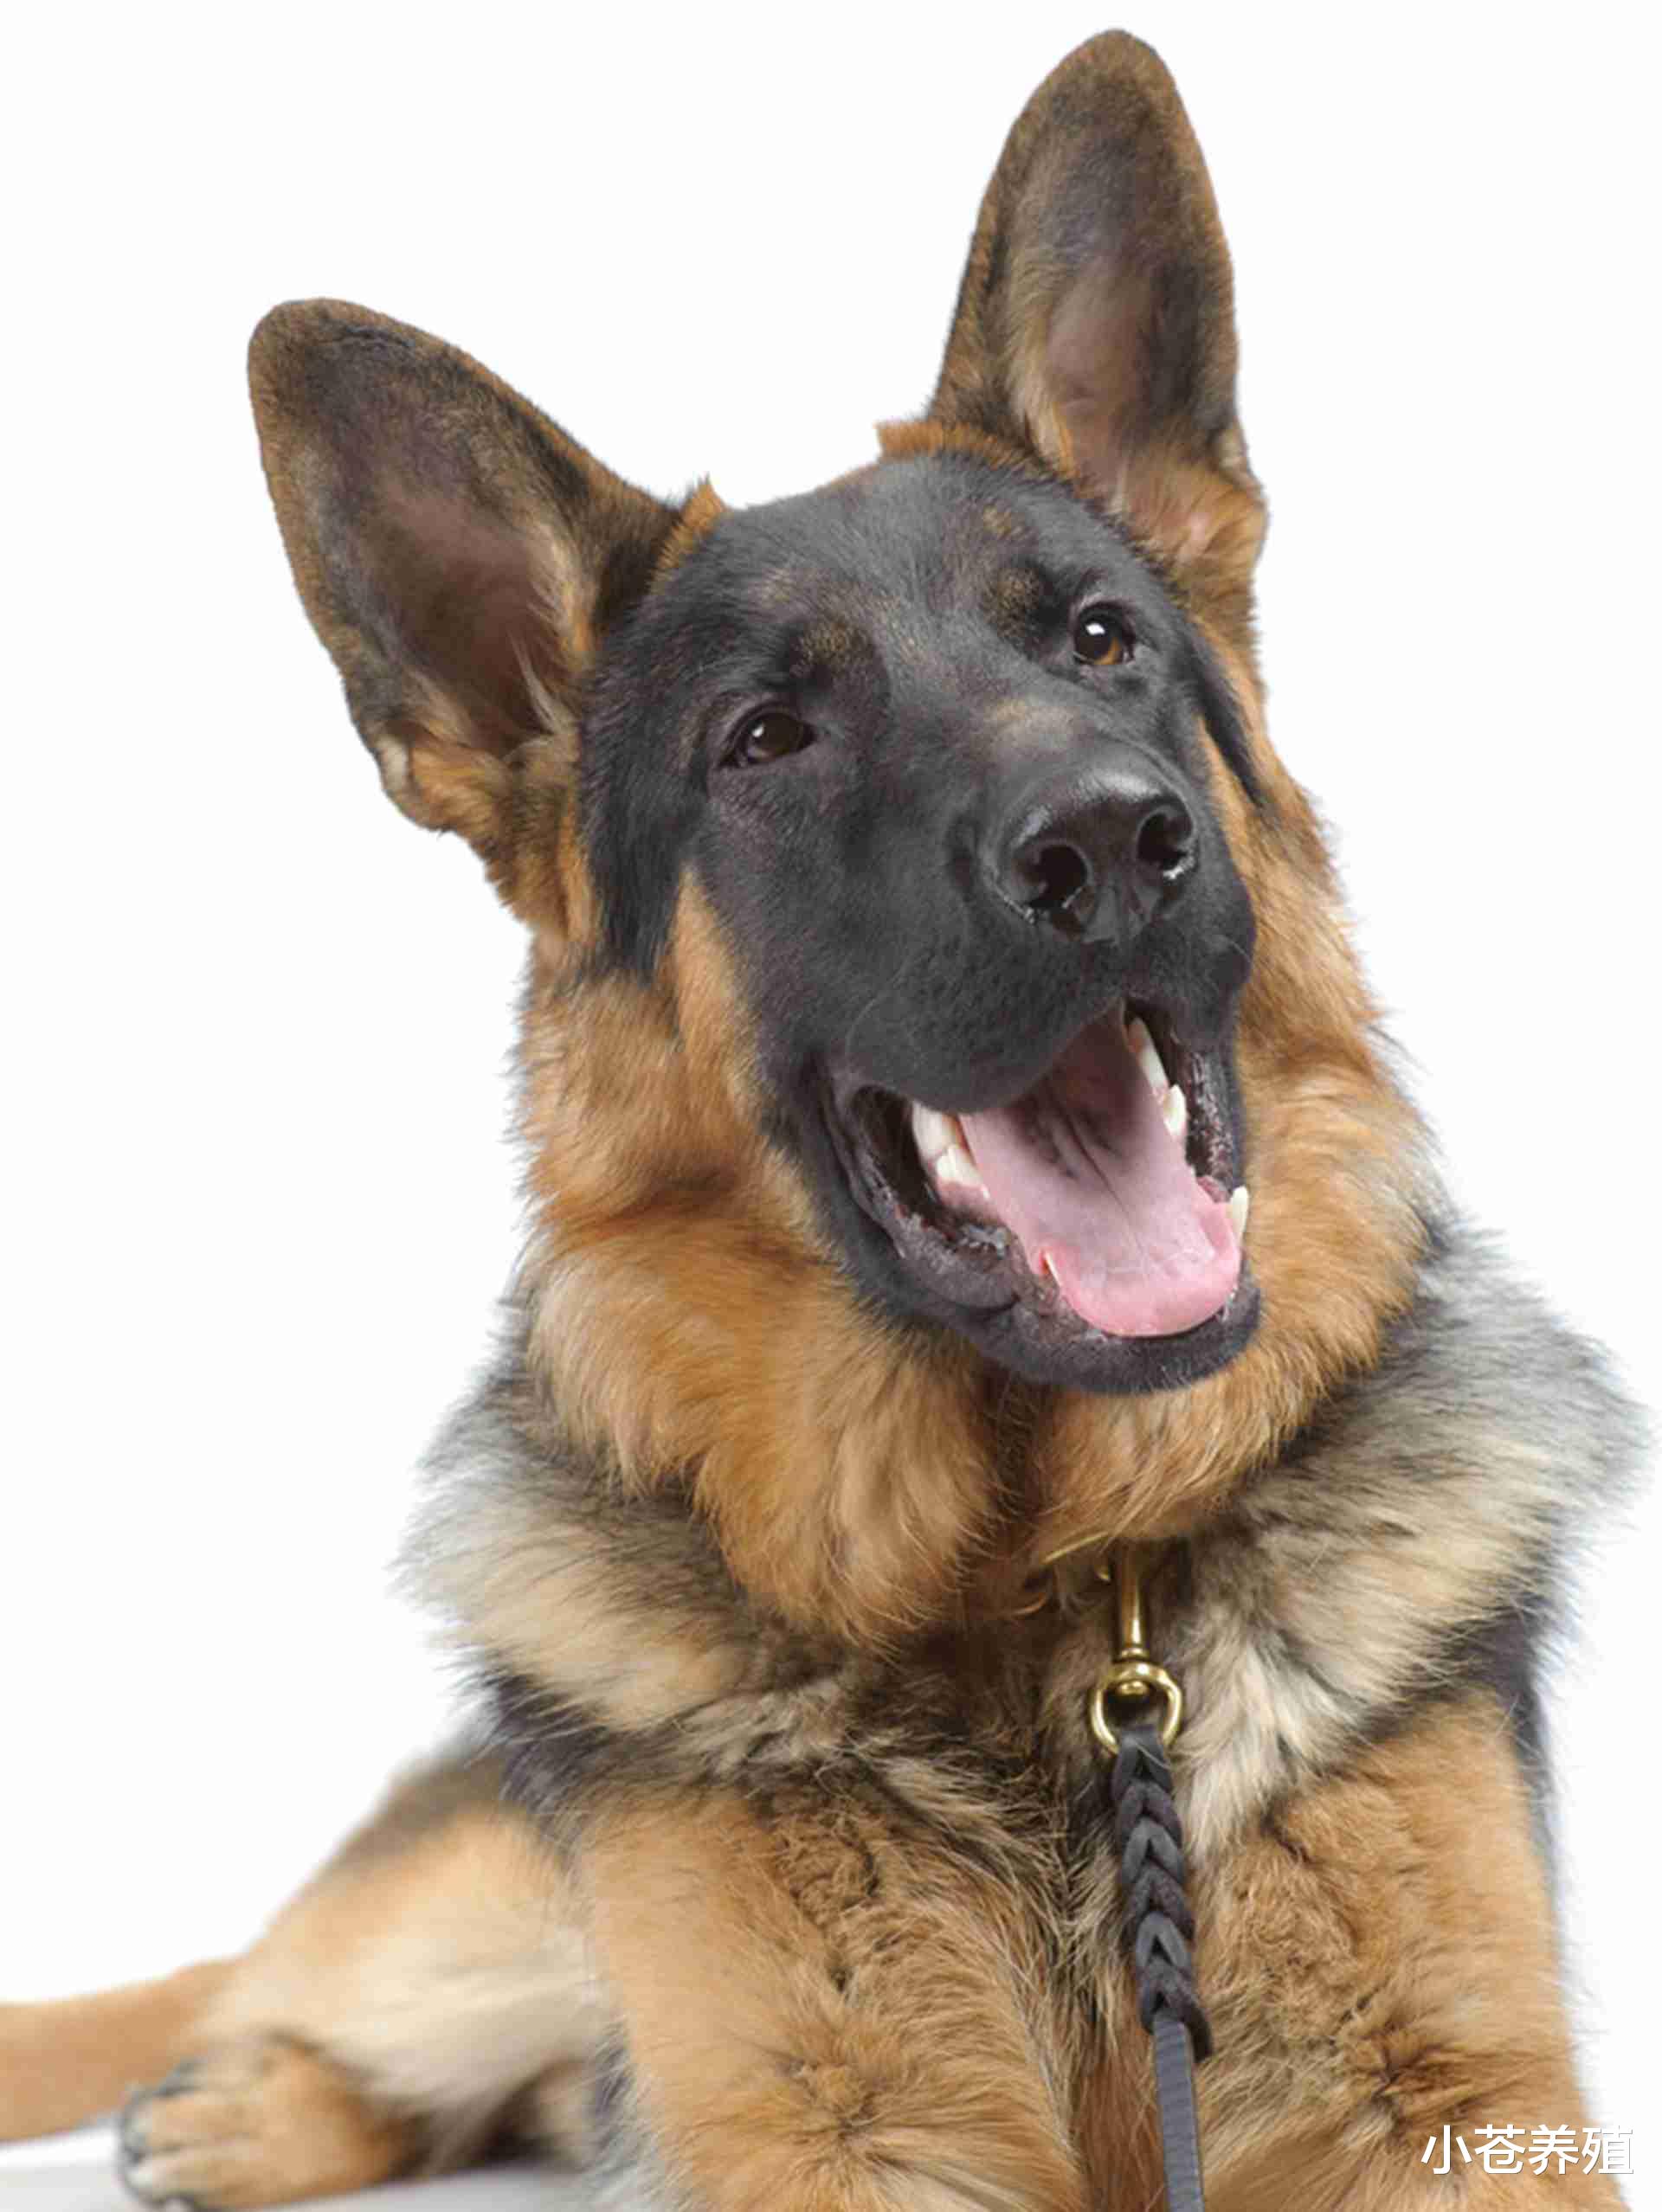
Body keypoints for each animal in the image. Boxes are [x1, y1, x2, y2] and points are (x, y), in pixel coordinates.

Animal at [0, 30, 1640, 2210]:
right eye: (769, 738)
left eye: (1100, 639)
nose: (1111, 843)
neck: (1033, 1607)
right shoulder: (833, 2131)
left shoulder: (1447, 2104)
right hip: (471, 1926)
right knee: (294, 1984)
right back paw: (246, 2099)